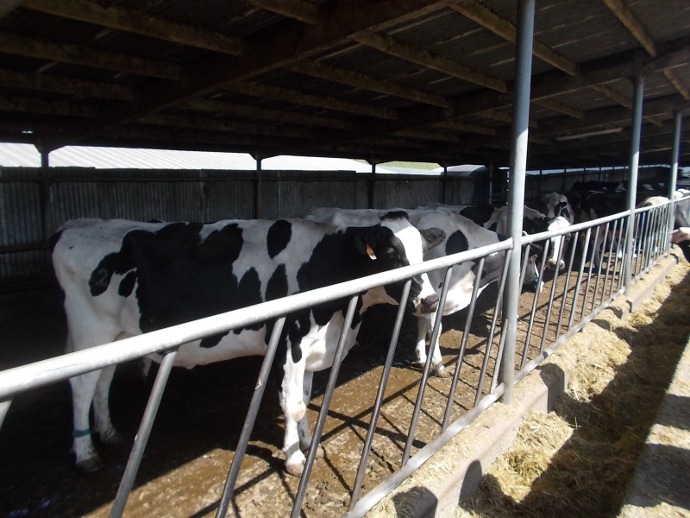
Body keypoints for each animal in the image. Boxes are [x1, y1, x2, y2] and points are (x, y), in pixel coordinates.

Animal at [51, 213, 444, 478]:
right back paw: (86, 453)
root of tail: (75, 225)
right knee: (81, 386)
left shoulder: (313, 347)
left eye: (424, 251)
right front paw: (295, 459)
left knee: (102, 381)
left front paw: (305, 443)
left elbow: (304, 398)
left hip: (118, 335)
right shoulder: (289, 342)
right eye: (391, 253)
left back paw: (108, 433)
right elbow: (292, 404)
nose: (429, 300)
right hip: (90, 329)